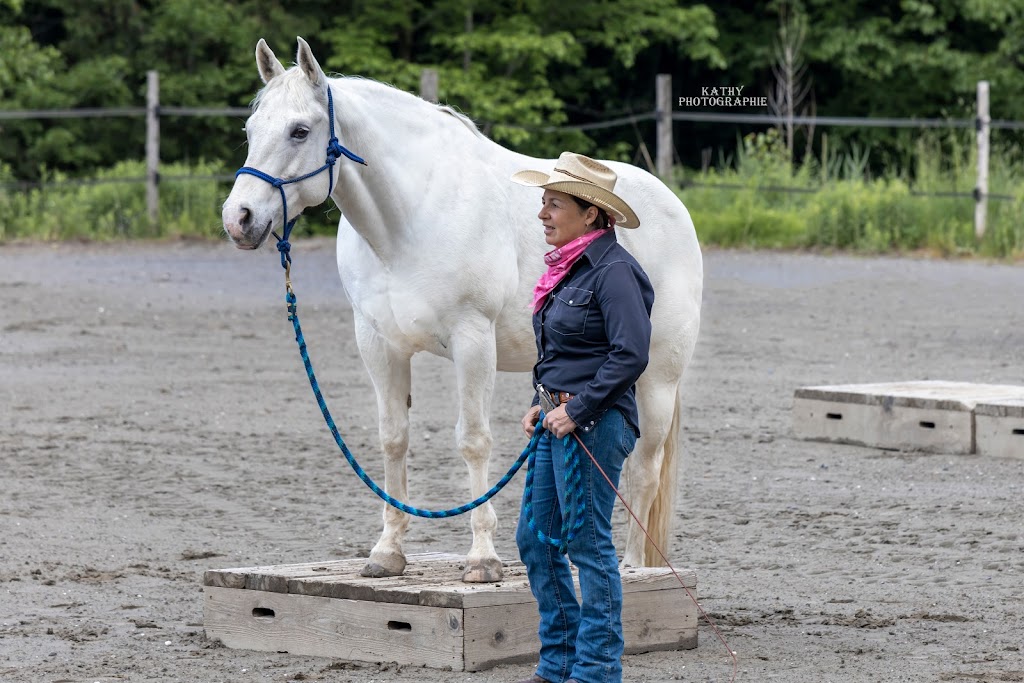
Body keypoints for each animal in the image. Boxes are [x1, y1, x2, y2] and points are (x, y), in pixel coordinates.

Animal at [222, 37, 704, 581]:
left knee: (644, 467)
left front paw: (482, 559)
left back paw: (634, 567)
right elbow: (393, 439)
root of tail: (671, 205)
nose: (239, 219)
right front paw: (387, 552)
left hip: (657, 378)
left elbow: (473, 440)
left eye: (300, 130)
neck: (409, 219)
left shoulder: (473, 341)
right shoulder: (379, 344)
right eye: (250, 130)